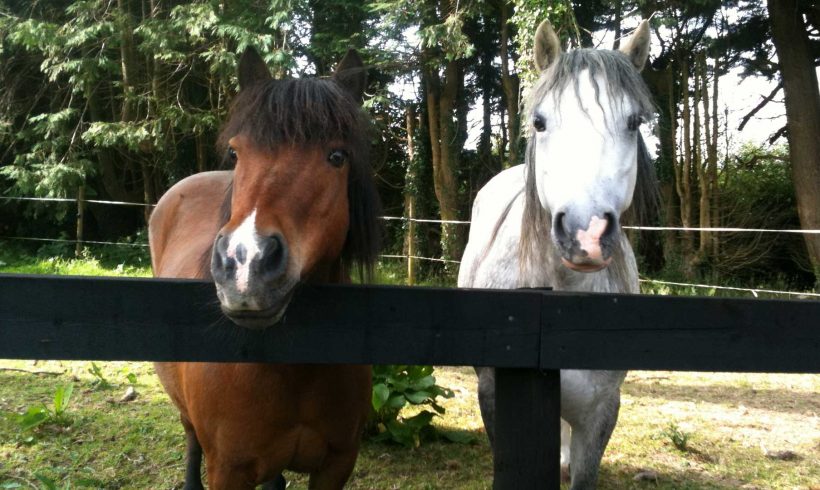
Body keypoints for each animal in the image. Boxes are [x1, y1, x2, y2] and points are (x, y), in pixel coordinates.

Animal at [148, 47, 381, 490]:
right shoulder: (228, 469)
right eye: (236, 153)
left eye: (337, 156)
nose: (246, 263)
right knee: (189, 435)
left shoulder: (338, 463)